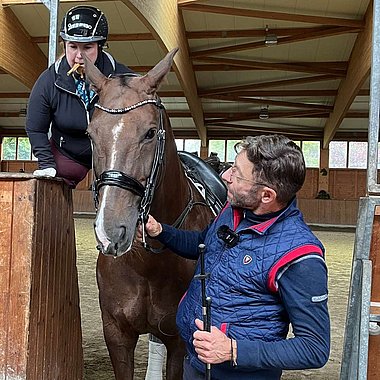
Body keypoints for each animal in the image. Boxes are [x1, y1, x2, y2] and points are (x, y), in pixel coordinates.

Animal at [83, 48, 214, 380]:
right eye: (90, 134)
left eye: (150, 133)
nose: (110, 232)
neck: (146, 263)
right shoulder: (117, 335)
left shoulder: (180, 342)